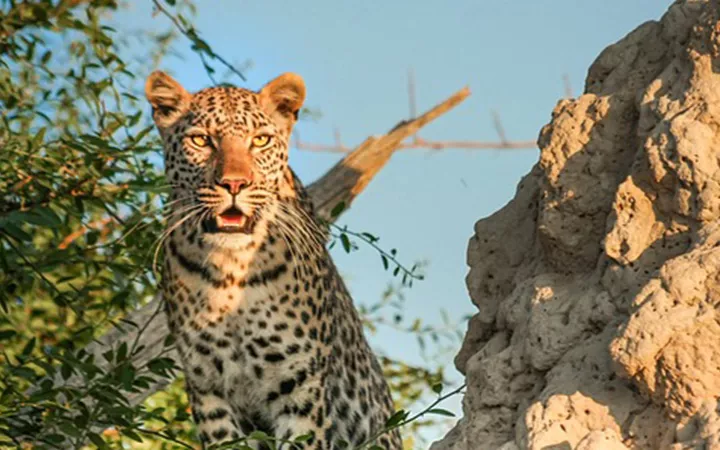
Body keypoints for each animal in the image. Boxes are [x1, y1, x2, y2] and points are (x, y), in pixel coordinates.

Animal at [143, 71, 402, 450]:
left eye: (261, 140)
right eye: (201, 140)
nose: (234, 184)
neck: (232, 270)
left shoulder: (299, 385)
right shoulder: (208, 390)